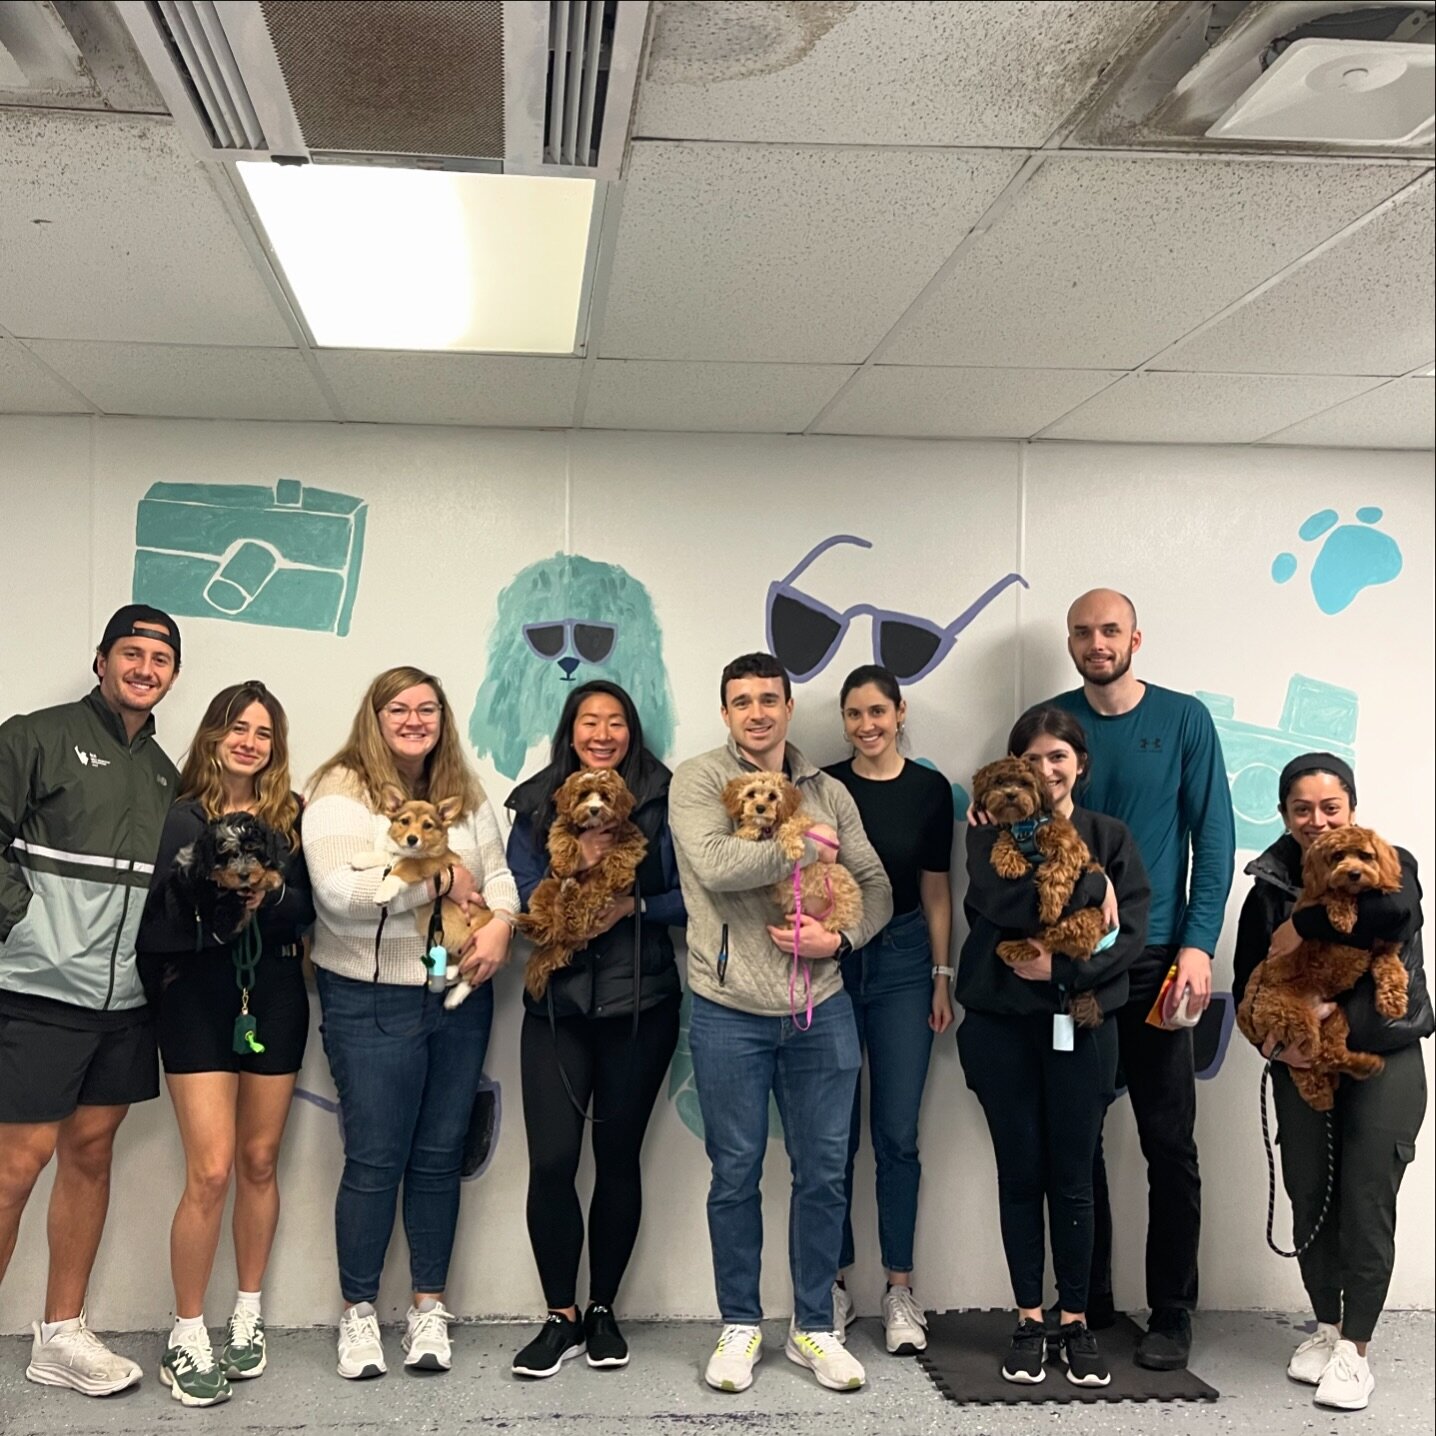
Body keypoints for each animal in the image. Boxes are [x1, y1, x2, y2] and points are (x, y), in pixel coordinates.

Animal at [519, 775, 649, 999]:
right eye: (583, 795)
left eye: (605, 796)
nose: (594, 809)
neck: (592, 828)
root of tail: (562, 938)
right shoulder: (563, 823)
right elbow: (563, 837)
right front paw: (564, 863)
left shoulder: (630, 833)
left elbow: (624, 852)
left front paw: (620, 877)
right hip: (545, 888)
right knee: (548, 925)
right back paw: (531, 922)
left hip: (596, 899)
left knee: (575, 922)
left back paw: (569, 895)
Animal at [723, 769, 855, 936]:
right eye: (751, 794)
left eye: (772, 796)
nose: (760, 808)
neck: (770, 826)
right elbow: (752, 825)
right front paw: (745, 831)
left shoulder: (801, 820)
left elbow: (789, 827)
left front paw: (794, 848)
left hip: (839, 884)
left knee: (843, 915)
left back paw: (830, 923)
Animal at [970, 758, 1102, 1028]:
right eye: (1000, 781)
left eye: (1024, 783)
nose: (1010, 794)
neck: (1027, 824)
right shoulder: (1010, 831)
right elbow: (1005, 837)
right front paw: (1009, 861)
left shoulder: (1070, 848)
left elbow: (1057, 873)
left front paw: (1050, 905)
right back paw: (1015, 947)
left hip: (1083, 920)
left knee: (1052, 942)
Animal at [1240, 827, 1407, 1114]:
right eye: (1338, 856)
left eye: (1366, 855)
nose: (1353, 873)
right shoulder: (1311, 904)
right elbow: (1332, 894)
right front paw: (1343, 915)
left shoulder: (1384, 949)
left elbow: (1392, 969)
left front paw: (1393, 1001)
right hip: (1295, 1018)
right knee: (1315, 1058)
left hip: (1334, 1017)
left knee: (1328, 1056)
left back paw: (1356, 1071)